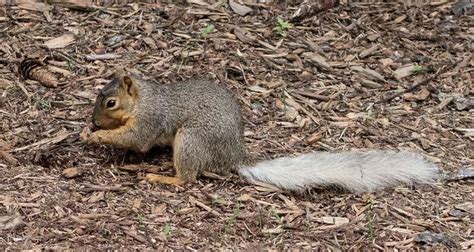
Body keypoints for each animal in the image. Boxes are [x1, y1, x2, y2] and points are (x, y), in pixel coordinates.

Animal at [79, 70, 438, 192]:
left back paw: (162, 178)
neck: (142, 100)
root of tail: (234, 157)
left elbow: (137, 141)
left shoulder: (151, 119)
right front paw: (87, 132)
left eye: (110, 102)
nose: (94, 122)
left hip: (191, 140)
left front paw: (95, 137)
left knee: (188, 178)